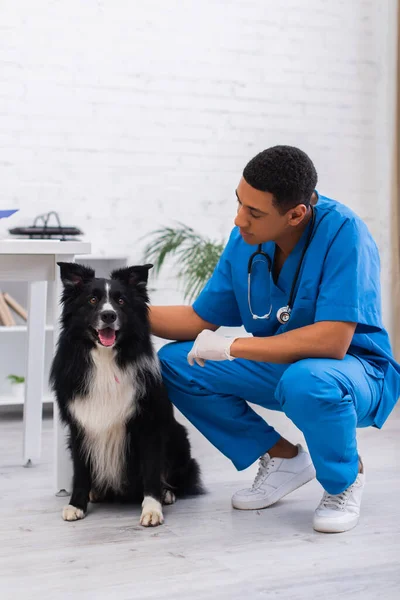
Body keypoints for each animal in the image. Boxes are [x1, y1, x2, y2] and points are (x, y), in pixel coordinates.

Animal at [50, 264, 203, 528]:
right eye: (92, 300)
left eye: (120, 301)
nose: (109, 316)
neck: (105, 360)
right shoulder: (79, 425)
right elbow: (81, 471)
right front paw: (76, 505)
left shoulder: (149, 425)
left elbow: (151, 470)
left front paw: (152, 509)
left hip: (178, 438)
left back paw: (167, 493)